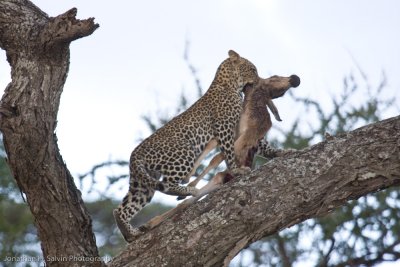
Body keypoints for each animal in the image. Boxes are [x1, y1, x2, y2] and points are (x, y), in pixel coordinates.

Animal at [113, 50, 272, 243]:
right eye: (252, 69)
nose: (259, 80)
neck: (228, 84)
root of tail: (134, 155)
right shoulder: (225, 128)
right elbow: (230, 152)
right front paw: (237, 170)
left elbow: (259, 143)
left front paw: (280, 152)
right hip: (184, 153)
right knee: (167, 185)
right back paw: (190, 190)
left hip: (141, 183)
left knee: (121, 209)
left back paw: (131, 234)